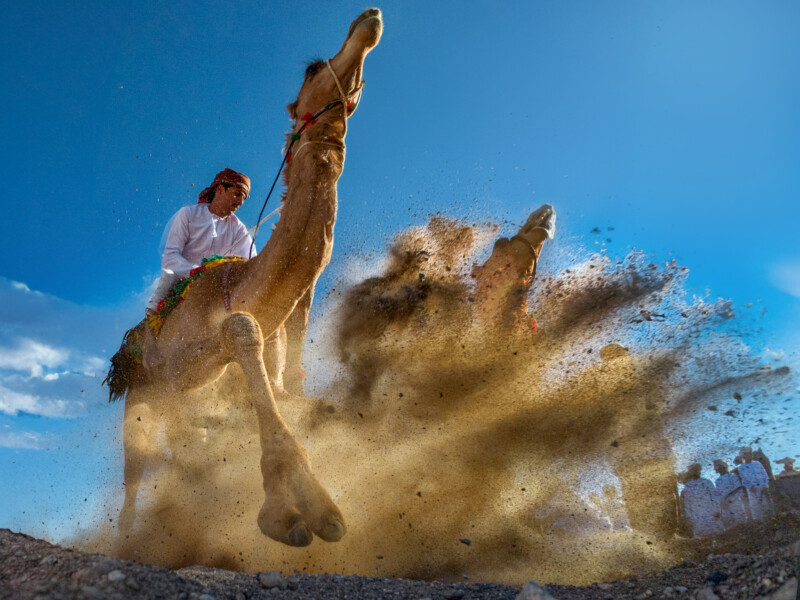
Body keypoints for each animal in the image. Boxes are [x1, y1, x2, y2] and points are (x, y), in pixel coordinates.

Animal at [110, 8, 383, 548]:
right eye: (312, 67)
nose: (369, 19)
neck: (239, 285)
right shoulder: (187, 361)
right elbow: (241, 327)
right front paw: (300, 510)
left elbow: (267, 376)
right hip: (140, 394)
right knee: (136, 469)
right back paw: (129, 537)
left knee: (180, 452)